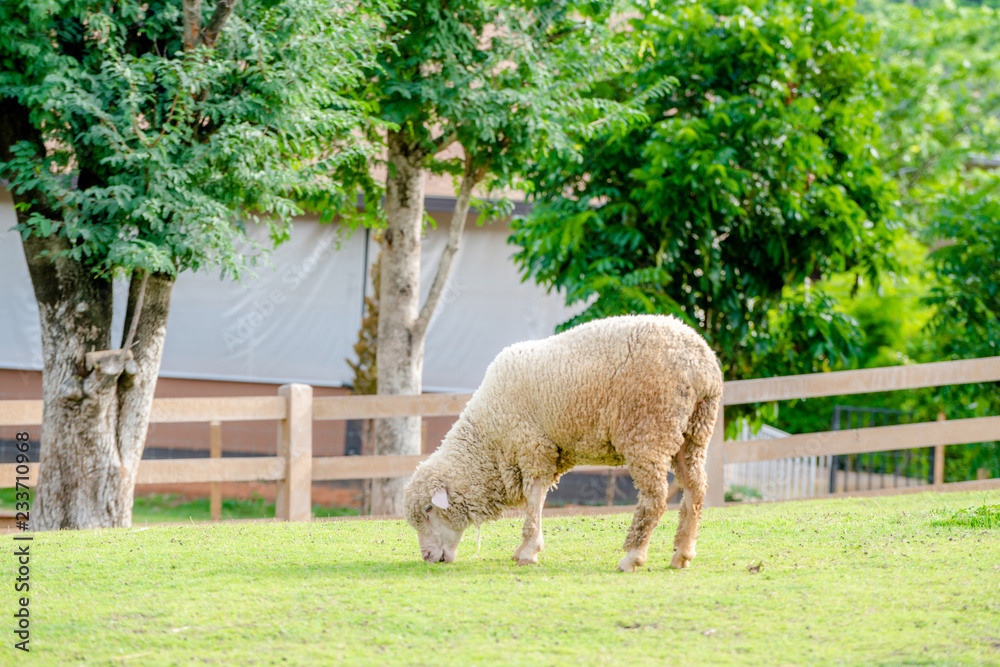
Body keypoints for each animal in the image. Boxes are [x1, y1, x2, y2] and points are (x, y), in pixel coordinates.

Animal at [402, 316, 724, 572]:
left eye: (429, 510)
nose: (427, 557)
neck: (489, 438)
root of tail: (703, 366)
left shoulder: (532, 447)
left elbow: (534, 500)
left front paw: (528, 551)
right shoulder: (547, 452)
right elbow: (540, 498)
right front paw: (524, 549)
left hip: (649, 429)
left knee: (655, 498)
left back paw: (633, 556)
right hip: (693, 433)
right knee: (695, 490)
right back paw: (682, 554)